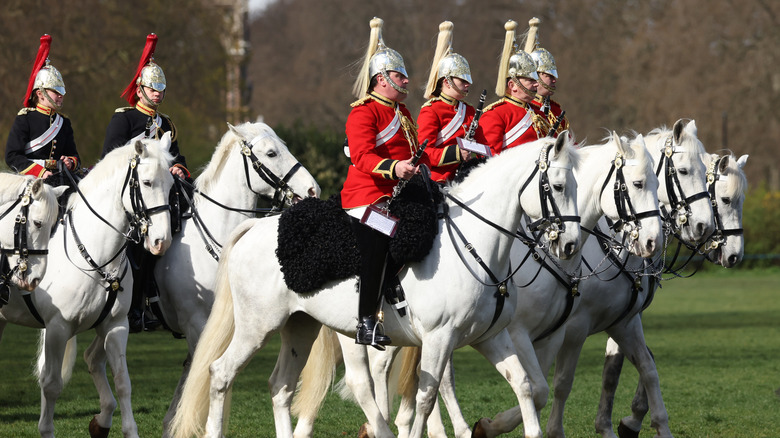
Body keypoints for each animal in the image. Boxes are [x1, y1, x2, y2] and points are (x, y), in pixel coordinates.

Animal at [0, 137, 174, 438]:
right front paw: (46, 429)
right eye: (148, 182)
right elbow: (51, 384)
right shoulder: (57, 328)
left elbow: (122, 382)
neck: (97, 256)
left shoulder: (116, 326)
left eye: (173, 184)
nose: (161, 241)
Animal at [171, 133, 580, 438]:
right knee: (221, 374)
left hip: (300, 327)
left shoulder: (490, 337)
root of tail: (257, 226)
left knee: (282, 387)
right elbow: (425, 398)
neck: (477, 243)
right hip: (257, 327)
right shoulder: (438, 338)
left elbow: (524, 385)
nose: (571, 245)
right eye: (558, 185)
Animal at [290, 130, 664, 438]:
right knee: (380, 378)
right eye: (638, 184)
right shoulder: (535, 331)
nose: (653, 242)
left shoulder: (586, 326)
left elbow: (628, 371)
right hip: (358, 331)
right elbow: (547, 385)